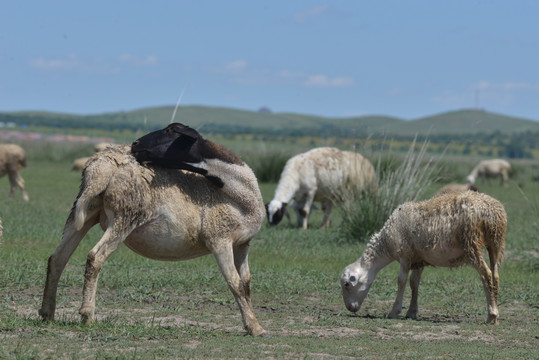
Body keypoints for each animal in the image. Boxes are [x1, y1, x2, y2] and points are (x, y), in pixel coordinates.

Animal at [40, 122, 268, 336]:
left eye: (170, 131)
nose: (135, 144)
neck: (236, 193)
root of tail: (102, 166)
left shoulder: (242, 244)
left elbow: (246, 283)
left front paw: (254, 324)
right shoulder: (219, 239)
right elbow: (235, 284)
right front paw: (255, 328)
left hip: (84, 212)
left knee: (57, 258)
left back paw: (47, 313)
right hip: (125, 214)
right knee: (95, 256)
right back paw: (87, 315)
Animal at [340, 193, 508, 324]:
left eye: (347, 284)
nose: (349, 308)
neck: (386, 244)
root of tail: (491, 211)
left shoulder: (405, 256)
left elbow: (401, 281)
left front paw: (394, 311)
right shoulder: (418, 259)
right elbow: (414, 283)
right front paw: (412, 312)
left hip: (471, 242)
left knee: (486, 274)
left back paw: (491, 315)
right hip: (496, 244)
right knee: (495, 275)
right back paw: (495, 314)